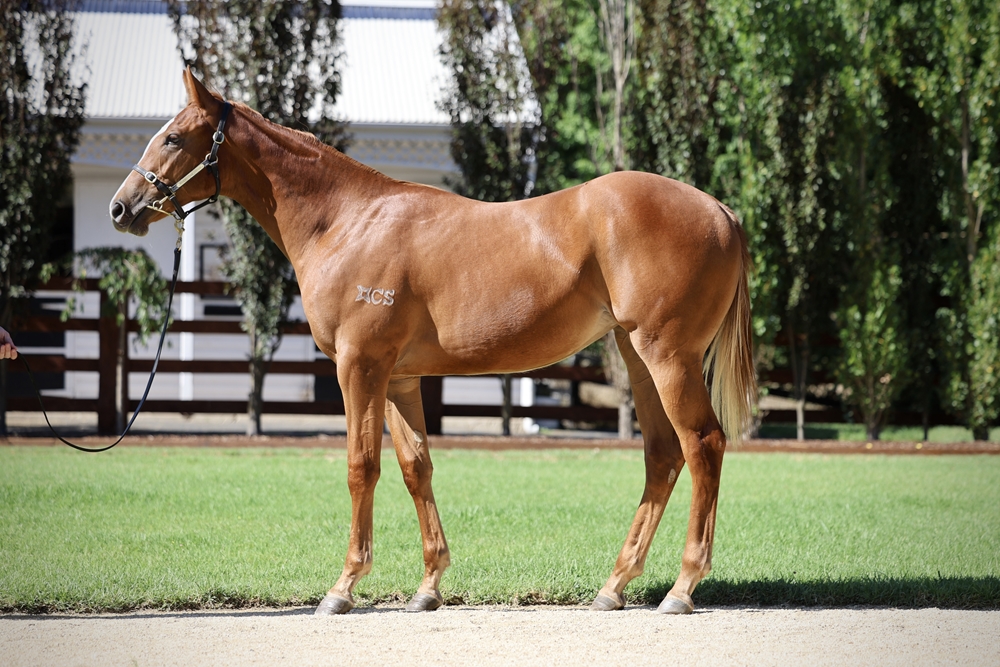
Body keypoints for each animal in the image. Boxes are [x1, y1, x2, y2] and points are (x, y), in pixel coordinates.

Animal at [110, 69, 756, 616]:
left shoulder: (360, 368)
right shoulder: (398, 377)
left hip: (668, 357)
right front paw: (428, 587)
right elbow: (414, 466)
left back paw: (681, 589)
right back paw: (614, 587)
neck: (346, 221)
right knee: (662, 456)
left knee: (703, 445)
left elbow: (360, 466)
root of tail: (721, 210)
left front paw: (342, 588)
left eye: (173, 138)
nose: (122, 207)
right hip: (637, 357)